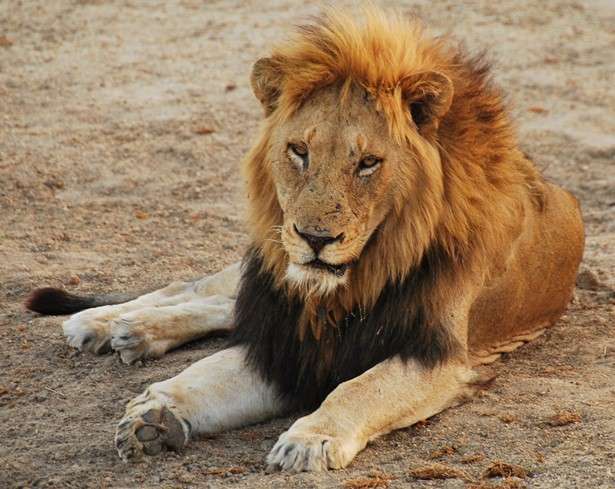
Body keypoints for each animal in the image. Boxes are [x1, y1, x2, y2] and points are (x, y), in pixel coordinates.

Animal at [27, 8, 588, 472]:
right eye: (299, 151)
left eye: (368, 163)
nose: (315, 239)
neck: (351, 285)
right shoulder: (287, 335)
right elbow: (212, 372)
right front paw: (157, 414)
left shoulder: (438, 356)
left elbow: (358, 389)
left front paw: (308, 440)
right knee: (197, 289)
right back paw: (104, 323)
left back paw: (132, 331)